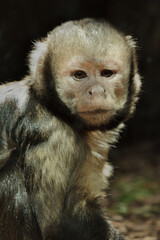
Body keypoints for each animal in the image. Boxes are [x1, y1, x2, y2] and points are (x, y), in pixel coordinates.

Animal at [0, 19, 141, 240]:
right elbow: (60, 224)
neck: (53, 107)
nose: (96, 91)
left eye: (107, 74)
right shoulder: (54, 133)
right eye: (79, 75)